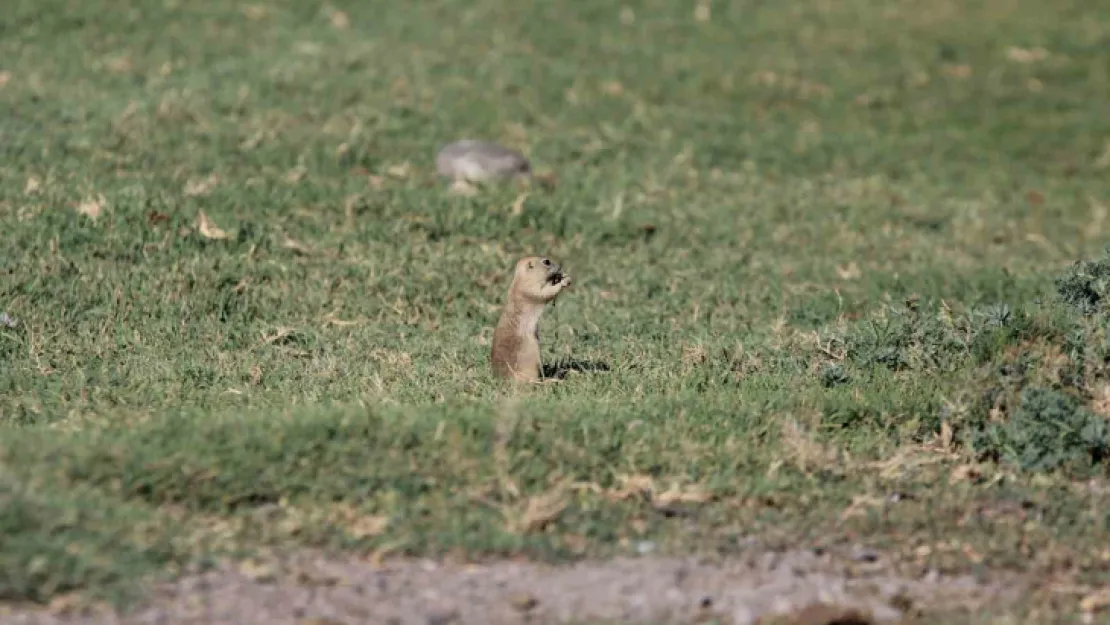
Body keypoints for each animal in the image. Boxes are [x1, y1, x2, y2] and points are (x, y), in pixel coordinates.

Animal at [490, 256, 572, 384]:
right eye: (546, 261)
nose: (560, 266)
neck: (520, 278)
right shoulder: (530, 288)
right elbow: (545, 293)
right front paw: (565, 280)